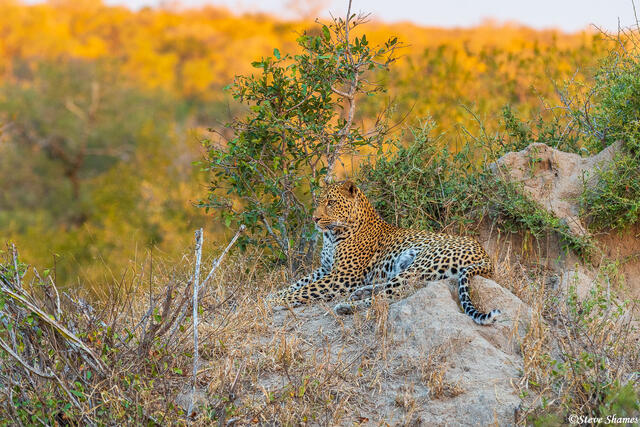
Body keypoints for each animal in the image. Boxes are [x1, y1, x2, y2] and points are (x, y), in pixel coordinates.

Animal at [269, 180, 501, 325]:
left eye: (331, 203)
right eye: (318, 202)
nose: (315, 218)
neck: (331, 235)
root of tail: (486, 257)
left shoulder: (341, 277)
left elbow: (304, 290)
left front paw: (273, 302)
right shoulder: (325, 268)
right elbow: (299, 283)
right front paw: (272, 295)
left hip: (422, 264)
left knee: (389, 295)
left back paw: (345, 306)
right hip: (406, 264)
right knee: (387, 288)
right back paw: (360, 293)